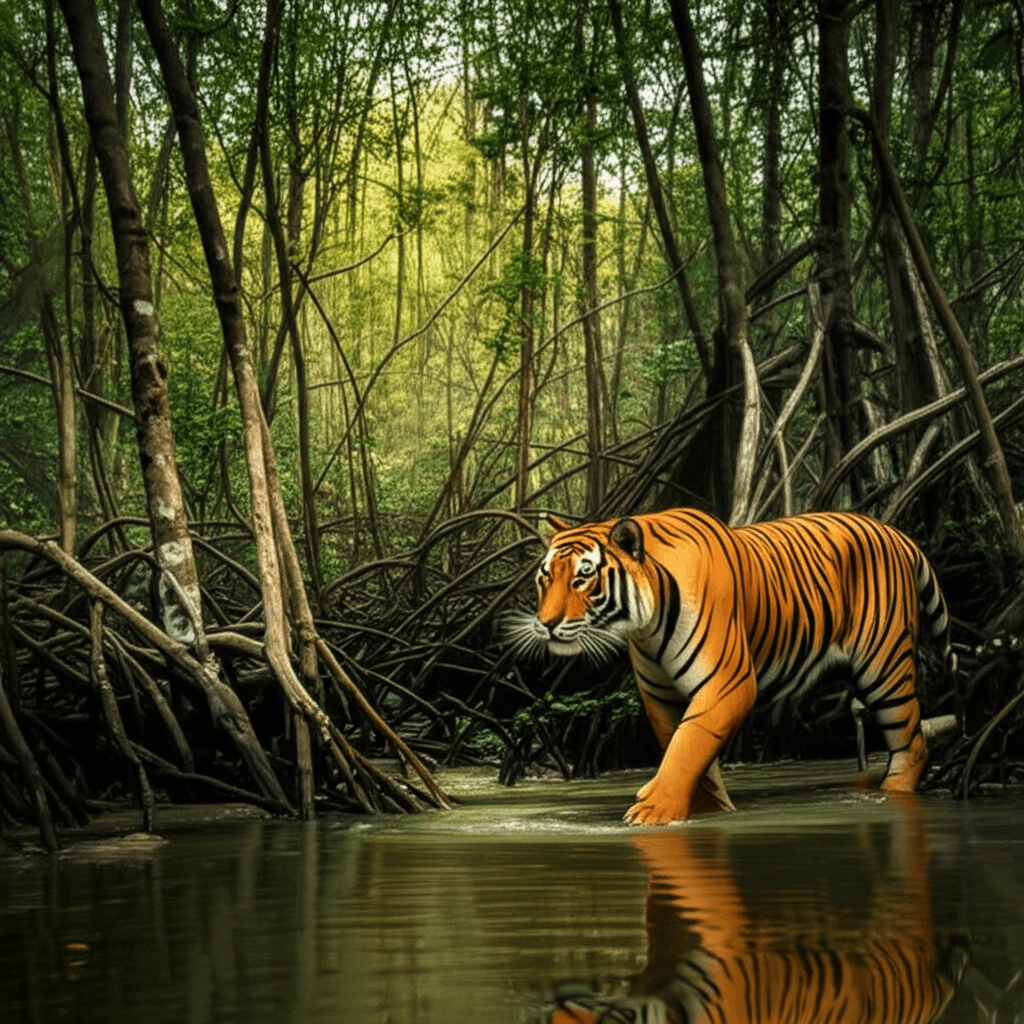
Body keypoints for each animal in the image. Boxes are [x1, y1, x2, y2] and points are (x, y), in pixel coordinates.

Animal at [518, 508, 951, 825]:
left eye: (583, 578)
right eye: (545, 578)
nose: (547, 623)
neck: (646, 629)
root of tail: (893, 531)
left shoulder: (727, 683)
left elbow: (689, 744)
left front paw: (654, 811)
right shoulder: (661, 696)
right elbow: (686, 747)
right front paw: (706, 809)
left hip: (885, 667)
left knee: (912, 738)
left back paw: (893, 793)